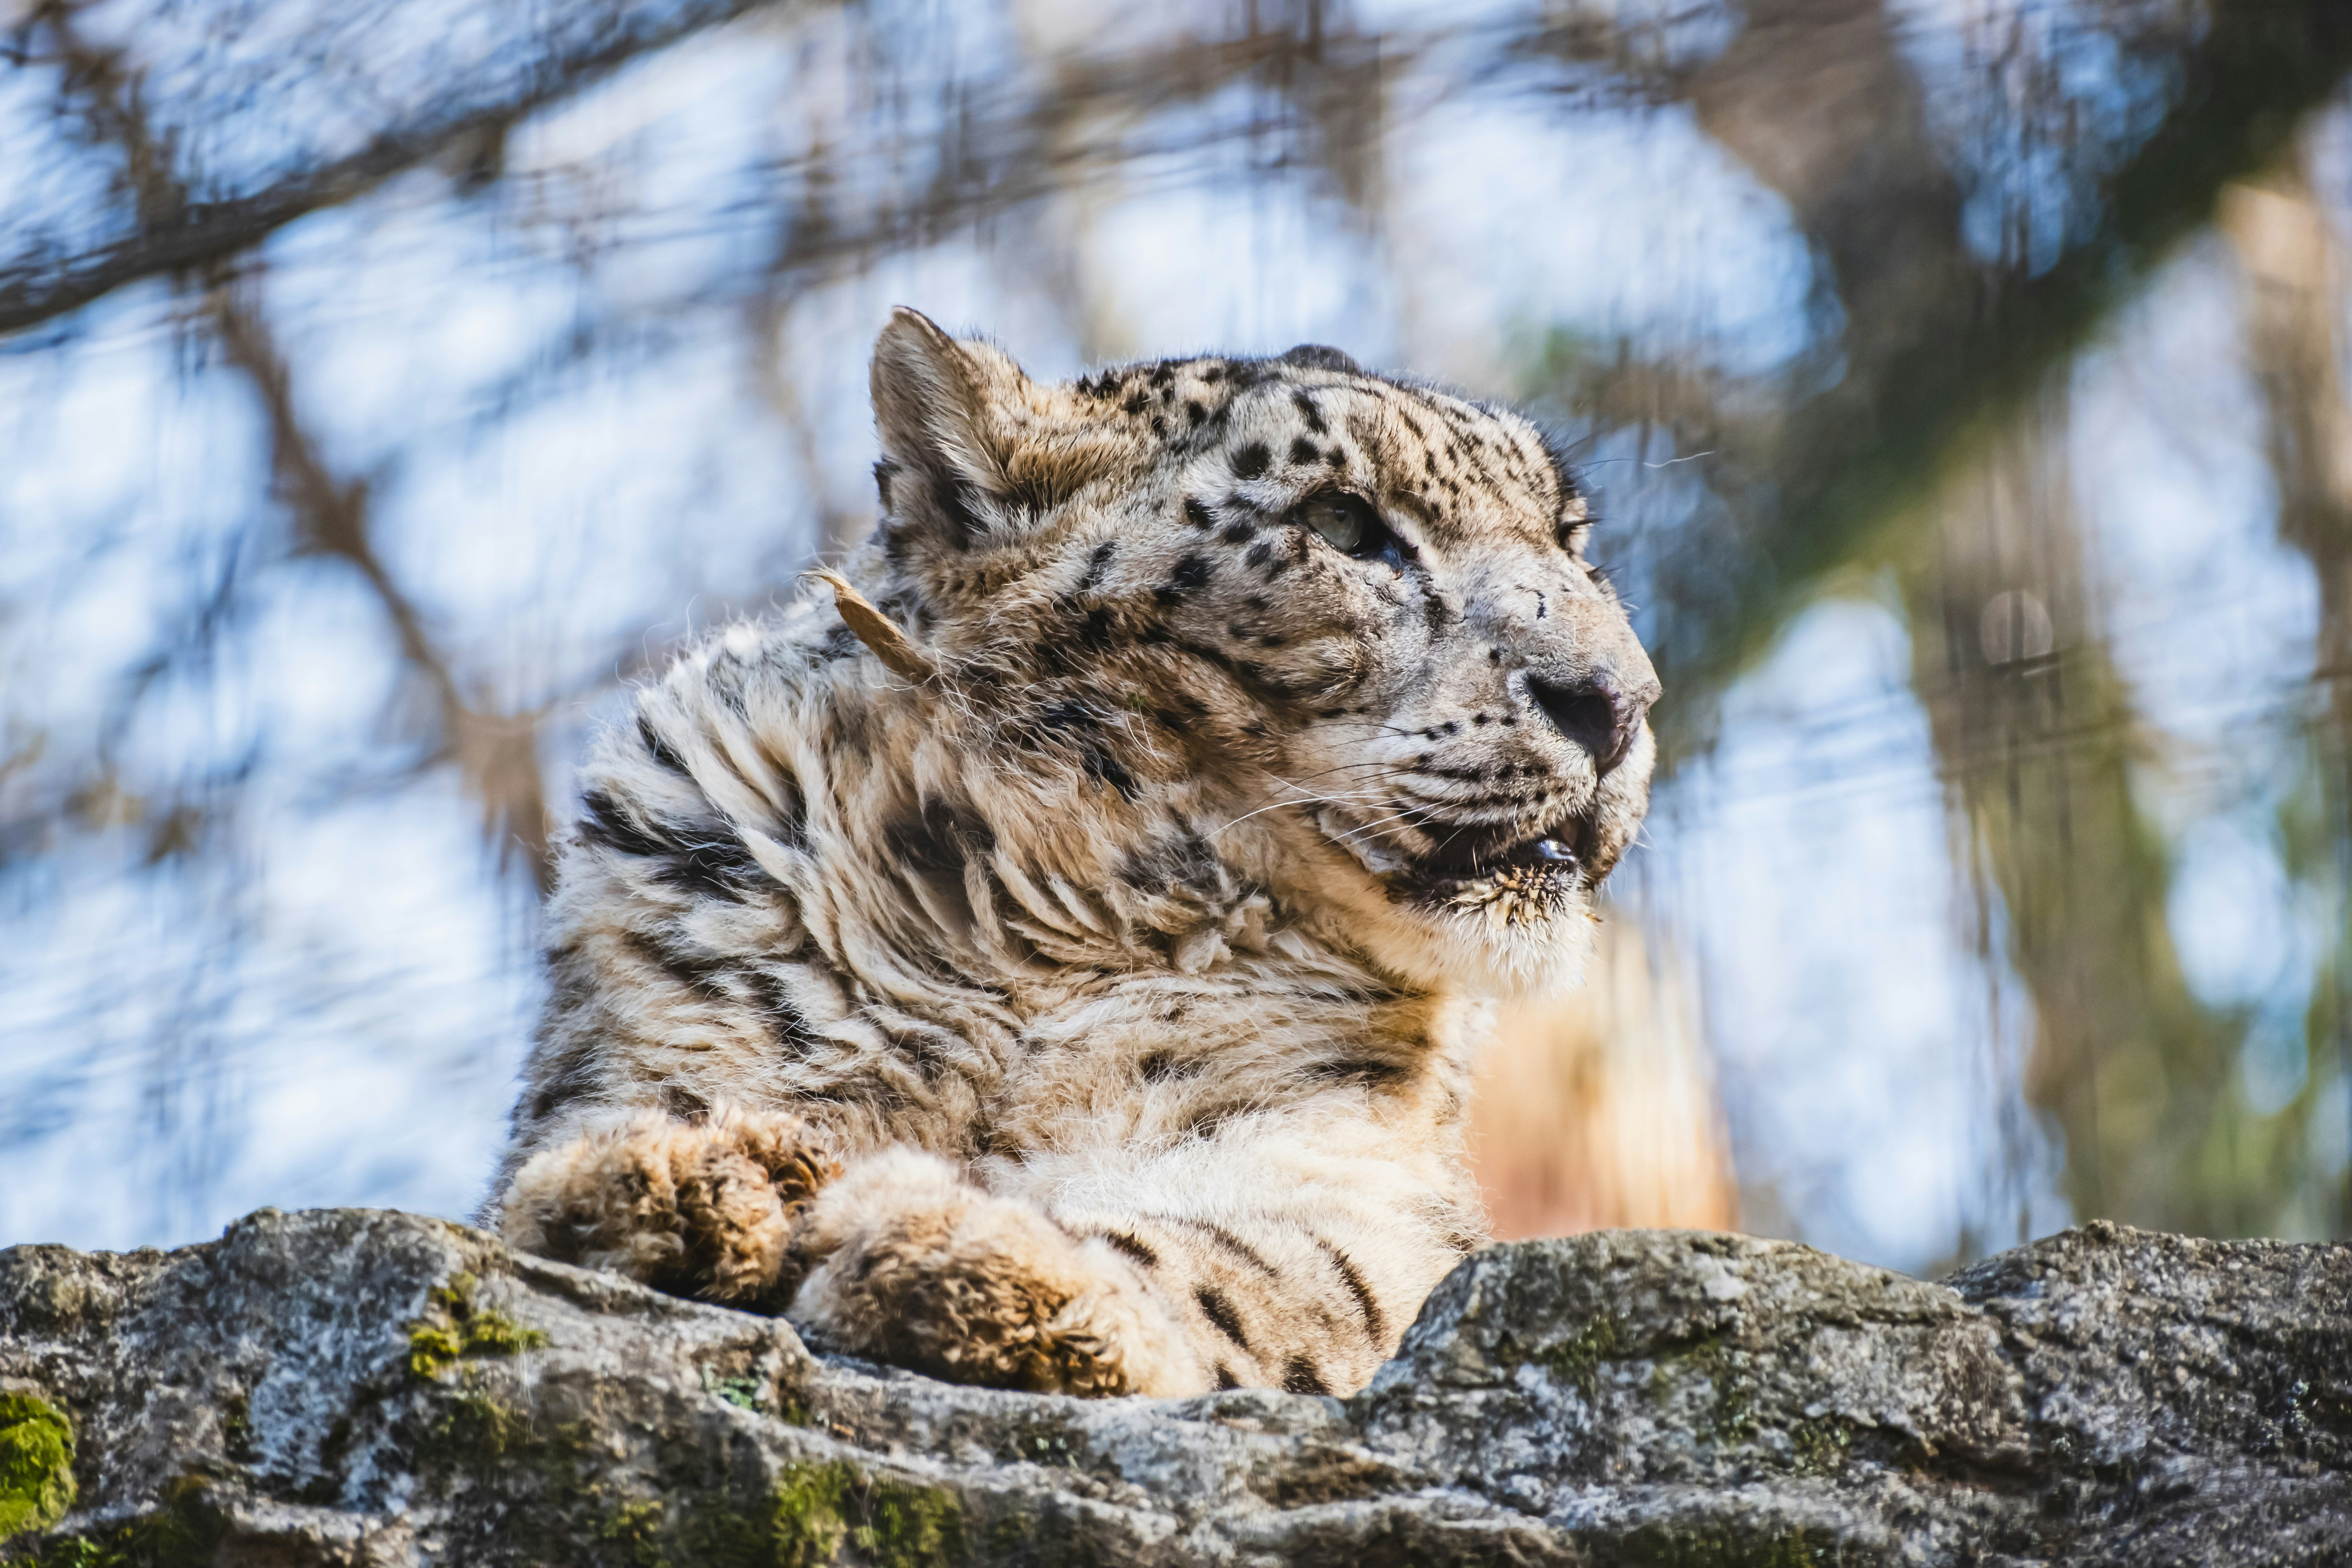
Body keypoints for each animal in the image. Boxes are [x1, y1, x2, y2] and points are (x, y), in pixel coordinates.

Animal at [485, 308, 1660, 1399]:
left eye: (1569, 536)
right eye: (1340, 520)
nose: (1619, 702)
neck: (1026, 953)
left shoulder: (1351, 1176)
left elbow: (1272, 1270)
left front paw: (970, 1252)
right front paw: (684, 1174)